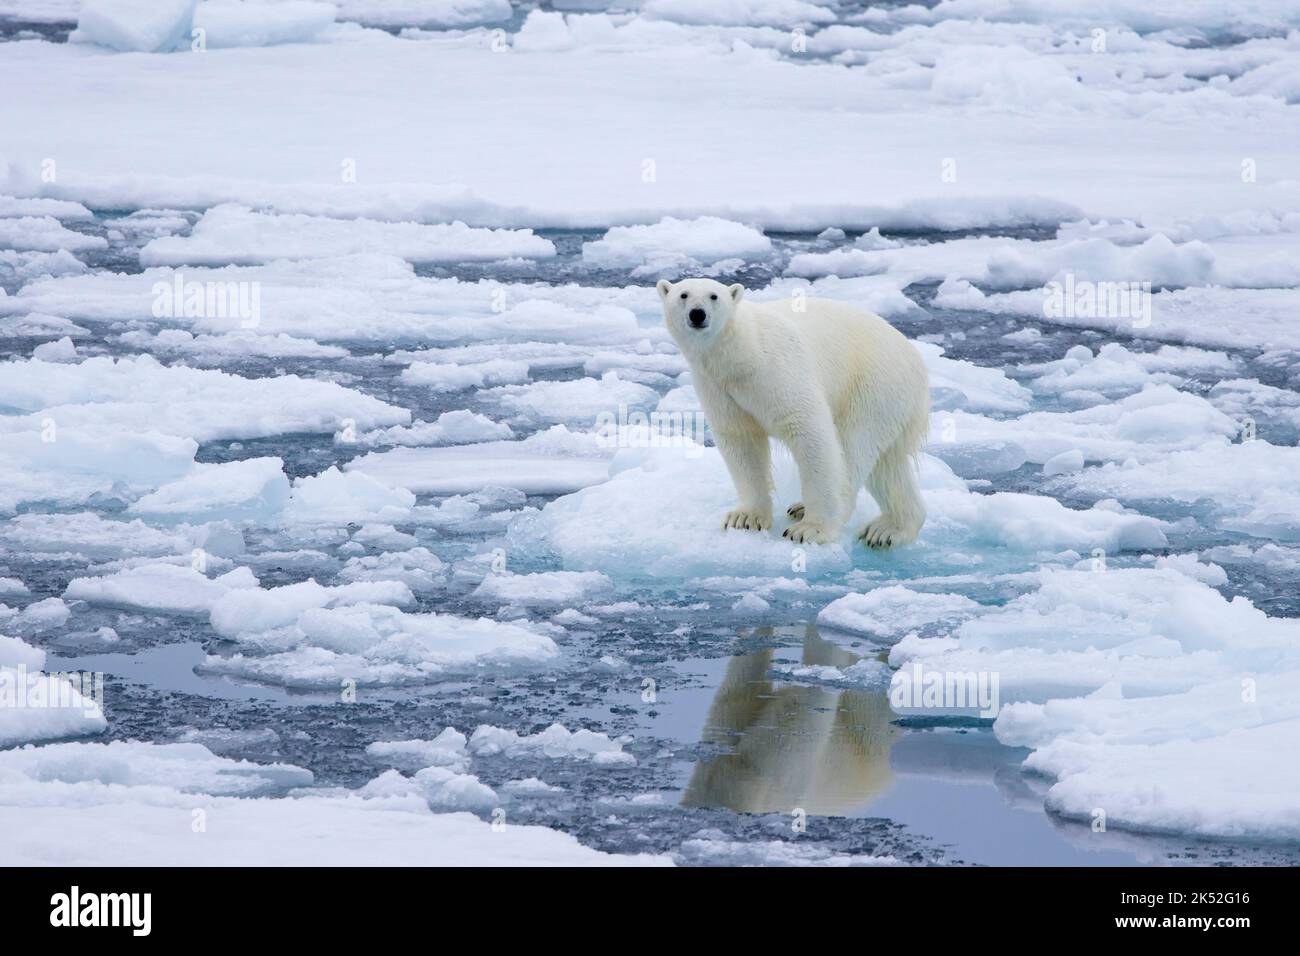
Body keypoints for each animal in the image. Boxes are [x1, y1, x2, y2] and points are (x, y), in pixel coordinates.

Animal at [660, 278, 925, 546]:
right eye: (683, 295)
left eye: (714, 296)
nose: (697, 313)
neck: (743, 355)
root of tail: (916, 360)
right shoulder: (718, 388)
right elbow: (741, 441)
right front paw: (745, 518)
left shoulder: (779, 371)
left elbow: (810, 431)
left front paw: (810, 529)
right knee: (888, 467)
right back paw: (888, 529)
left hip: (872, 385)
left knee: (854, 446)